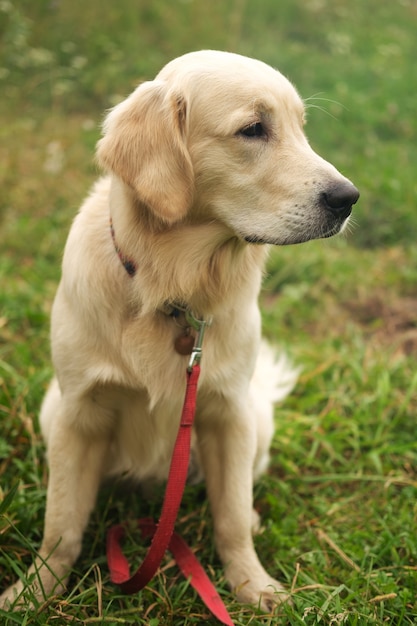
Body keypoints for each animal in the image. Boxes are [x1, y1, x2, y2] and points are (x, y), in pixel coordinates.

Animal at [0, 50, 358, 608]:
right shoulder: (79, 414)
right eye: (253, 129)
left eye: (302, 129)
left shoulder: (229, 413)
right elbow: (61, 524)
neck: (173, 292)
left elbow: (229, 516)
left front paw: (253, 586)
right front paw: (35, 591)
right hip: (51, 409)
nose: (349, 198)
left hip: (257, 418)